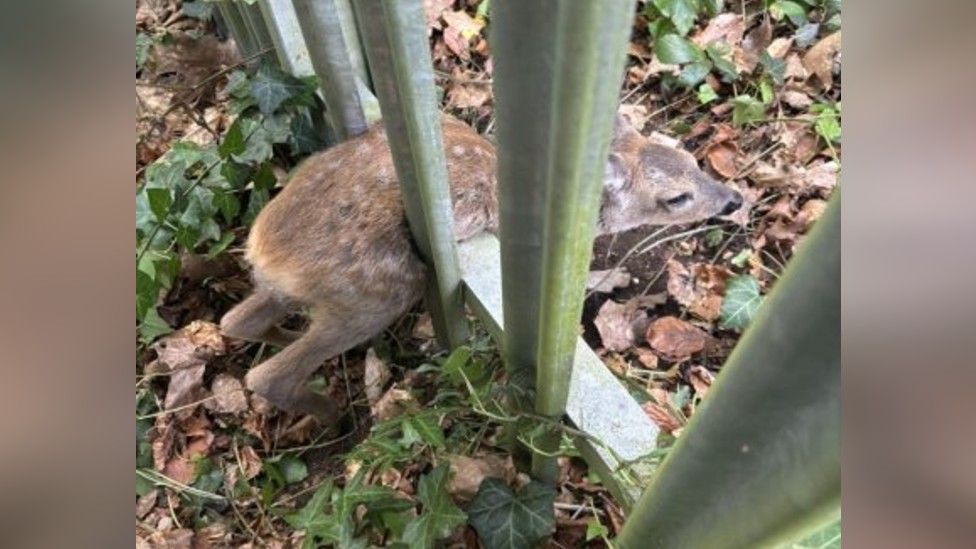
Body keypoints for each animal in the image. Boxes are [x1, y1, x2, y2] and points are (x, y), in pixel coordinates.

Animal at [220, 113, 742, 422]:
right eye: (676, 197)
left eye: (692, 159)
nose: (733, 199)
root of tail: (264, 249)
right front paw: (615, 277)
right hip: (374, 288)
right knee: (267, 375)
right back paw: (341, 417)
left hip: (299, 287)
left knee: (234, 321)